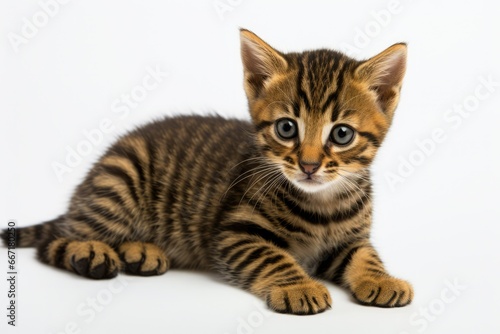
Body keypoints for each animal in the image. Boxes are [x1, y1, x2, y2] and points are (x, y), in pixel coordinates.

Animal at [1, 29, 412, 316]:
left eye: (341, 134)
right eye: (286, 128)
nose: (309, 165)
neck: (322, 203)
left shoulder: (351, 239)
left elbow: (366, 255)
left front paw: (381, 278)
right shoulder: (235, 233)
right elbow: (273, 257)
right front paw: (299, 286)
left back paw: (139, 251)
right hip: (118, 181)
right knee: (58, 240)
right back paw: (91, 251)